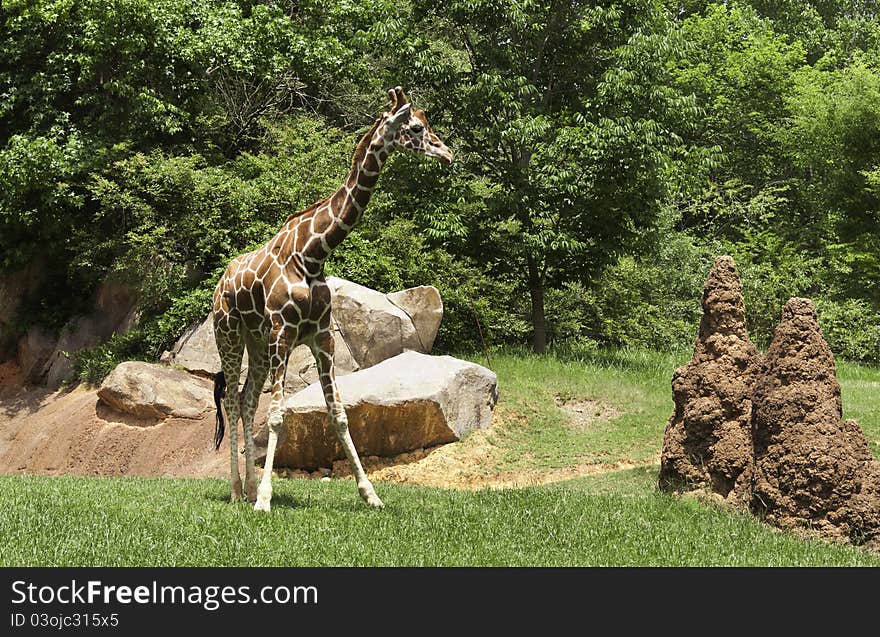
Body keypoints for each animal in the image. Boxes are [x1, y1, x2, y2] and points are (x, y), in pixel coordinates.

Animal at [210, 85, 450, 512]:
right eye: (417, 128)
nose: (448, 153)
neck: (312, 253)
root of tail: (220, 283)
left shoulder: (321, 336)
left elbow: (338, 414)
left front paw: (370, 494)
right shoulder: (283, 331)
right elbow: (277, 415)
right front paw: (266, 501)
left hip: (257, 342)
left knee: (245, 399)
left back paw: (249, 488)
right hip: (231, 335)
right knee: (234, 401)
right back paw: (240, 492)